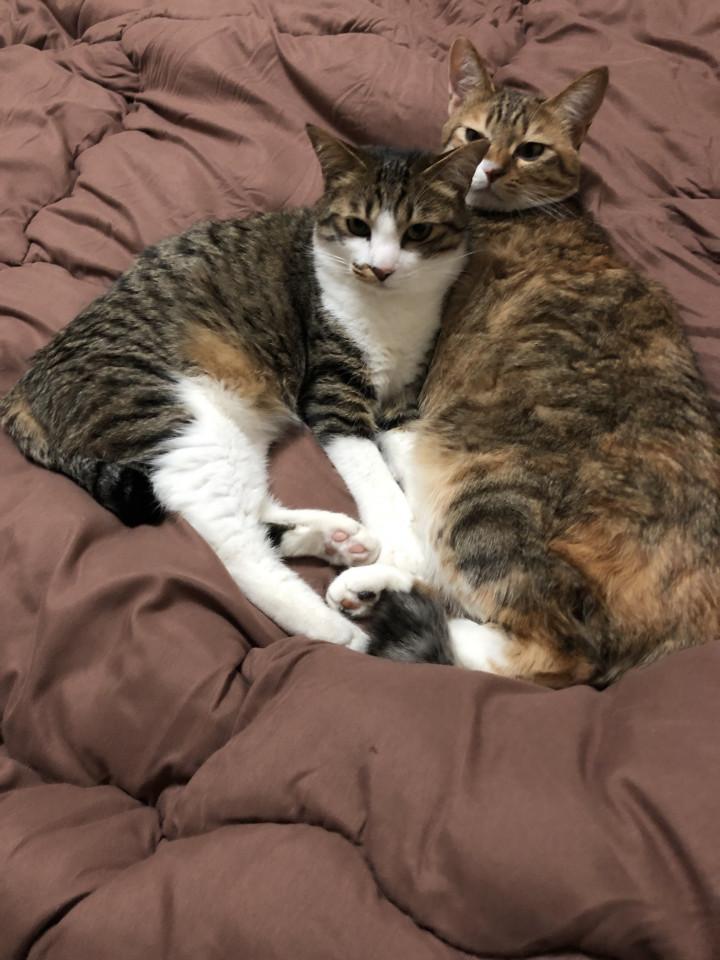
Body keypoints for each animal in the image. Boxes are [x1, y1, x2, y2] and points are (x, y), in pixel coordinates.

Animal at [0, 126, 487, 651]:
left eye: (418, 232)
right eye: (358, 225)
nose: (380, 268)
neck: (393, 311)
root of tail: (21, 388)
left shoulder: (405, 393)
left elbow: (410, 452)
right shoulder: (331, 388)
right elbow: (370, 467)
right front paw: (404, 542)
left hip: (230, 432)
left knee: (255, 509)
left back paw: (335, 538)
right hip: (177, 424)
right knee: (234, 546)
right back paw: (335, 630)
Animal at [327, 38, 720, 687]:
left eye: (531, 149)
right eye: (473, 135)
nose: (486, 169)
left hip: (487, 498)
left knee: (556, 650)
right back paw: (370, 584)